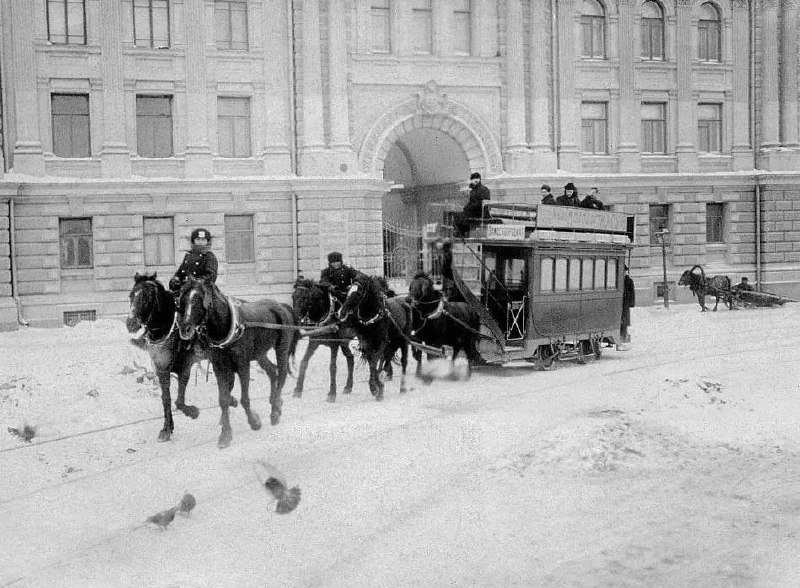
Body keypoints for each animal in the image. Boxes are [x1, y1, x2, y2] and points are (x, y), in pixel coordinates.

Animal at [177, 278, 298, 448]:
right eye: (182, 300)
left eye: (199, 300)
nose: (185, 329)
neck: (228, 327)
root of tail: (281, 305)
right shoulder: (219, 367)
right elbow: (223, 400)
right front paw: (225, 434)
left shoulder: (242, 365)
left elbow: (244, 399)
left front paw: (254, 422)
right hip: (259, 354)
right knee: (272, 371)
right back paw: (275, 402)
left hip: (282, 349)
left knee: (281, 375)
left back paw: (275, 411)